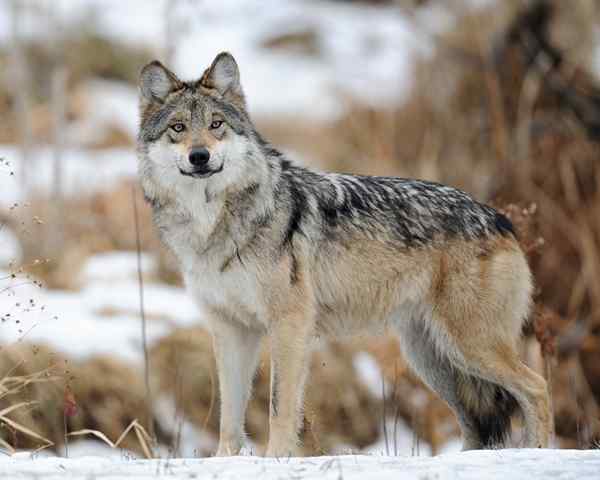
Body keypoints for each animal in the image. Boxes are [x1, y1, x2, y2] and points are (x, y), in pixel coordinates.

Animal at [137, 52, 552, 458]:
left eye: (217, 124)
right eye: (178, 128)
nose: (200, 156)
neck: (212, 225)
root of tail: (500, 219)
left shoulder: (289, 325)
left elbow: (279, 407)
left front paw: (276, 460)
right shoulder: (229, 329)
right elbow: (229, 415)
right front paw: (226, 462)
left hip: (470, 347)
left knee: (537, 387)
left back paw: (537, 451)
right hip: (434, 359)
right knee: (476, 426)